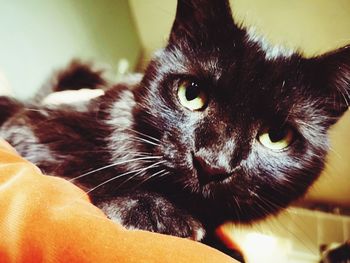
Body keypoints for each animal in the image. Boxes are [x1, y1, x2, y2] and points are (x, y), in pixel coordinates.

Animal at [0, 0, 348, 260]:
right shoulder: (29, 127)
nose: (212, 163)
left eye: (276, 137)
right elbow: (82, 166)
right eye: (190, 94)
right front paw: (151, 209)